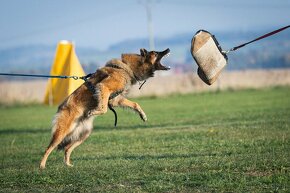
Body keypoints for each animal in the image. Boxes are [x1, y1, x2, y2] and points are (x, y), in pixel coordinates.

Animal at [38, 47, 170, 168]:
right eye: (155, 53)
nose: (168, 49)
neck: (127, 68)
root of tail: (61, 108)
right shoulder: (103, 87)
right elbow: (104, 108)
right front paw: (95, 111)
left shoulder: (117, 99)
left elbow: (135, 104)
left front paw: (143, 115)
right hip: (62, 132)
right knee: (48, 148)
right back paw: (42, 166)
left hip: (84, 134)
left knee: (67, 148)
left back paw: (68, 164)